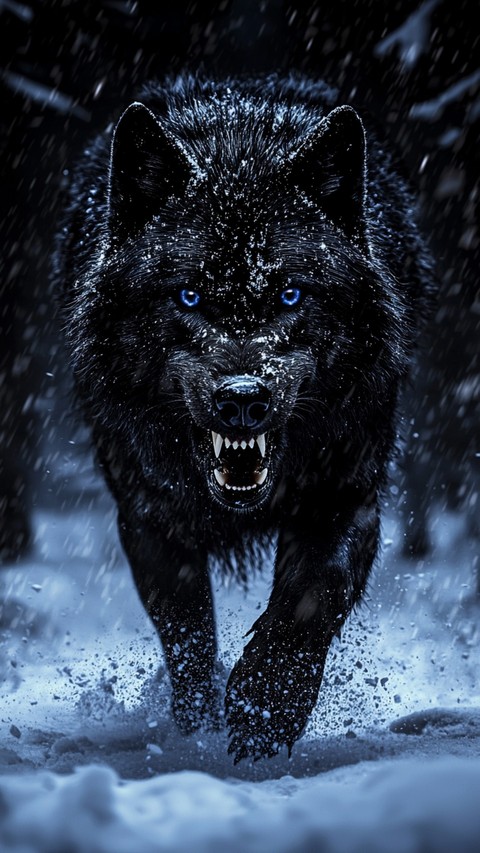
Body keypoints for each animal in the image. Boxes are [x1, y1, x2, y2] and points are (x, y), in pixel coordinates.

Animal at [56, 74, 435, 762]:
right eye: (189, 296)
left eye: (289, 294)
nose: (241, 397)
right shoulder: (148, 514)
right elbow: (188, 633)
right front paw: (198, 727)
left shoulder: (347, 492)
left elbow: (311, 599)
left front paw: (264, 711)